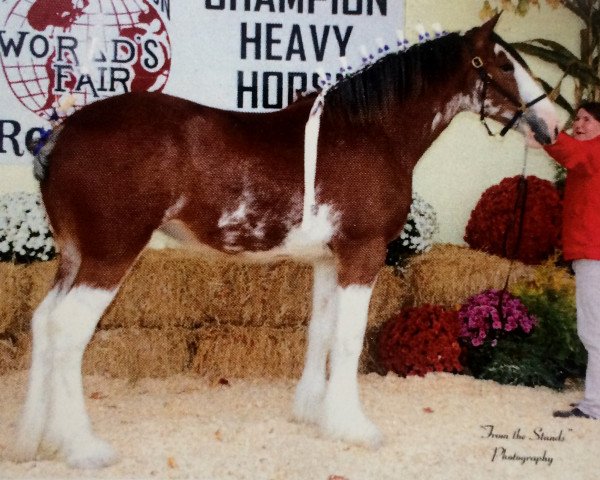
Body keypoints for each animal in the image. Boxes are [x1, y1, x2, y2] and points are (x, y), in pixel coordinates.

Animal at [8, 15, 556, 468]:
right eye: (504, 63)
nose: (550, 124)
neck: (371, 132)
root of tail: (59, 135)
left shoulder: (329, 261)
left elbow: (321, 332)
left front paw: (314, 413)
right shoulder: (363, 253)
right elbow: (349, 339)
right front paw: (355, 428)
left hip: (74, 256)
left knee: (41, 323)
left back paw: (31, 440)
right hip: (110, 255)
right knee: (67, 332)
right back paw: (83, 448)